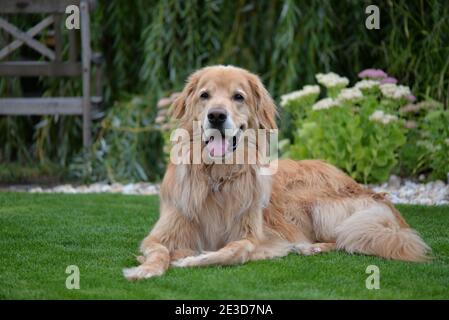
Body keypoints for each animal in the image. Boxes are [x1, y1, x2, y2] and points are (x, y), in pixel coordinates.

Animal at [121, 65, 428, 280]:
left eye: (238, 97)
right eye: (204, 96)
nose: (217, 115)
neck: (218, 176)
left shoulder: (254, 235)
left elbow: (236, 250)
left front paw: (192, 259)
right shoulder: (162, 233)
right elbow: (159, 250)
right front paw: (146, 269)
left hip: (315, 205)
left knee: (342, 238)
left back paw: (312, 247)